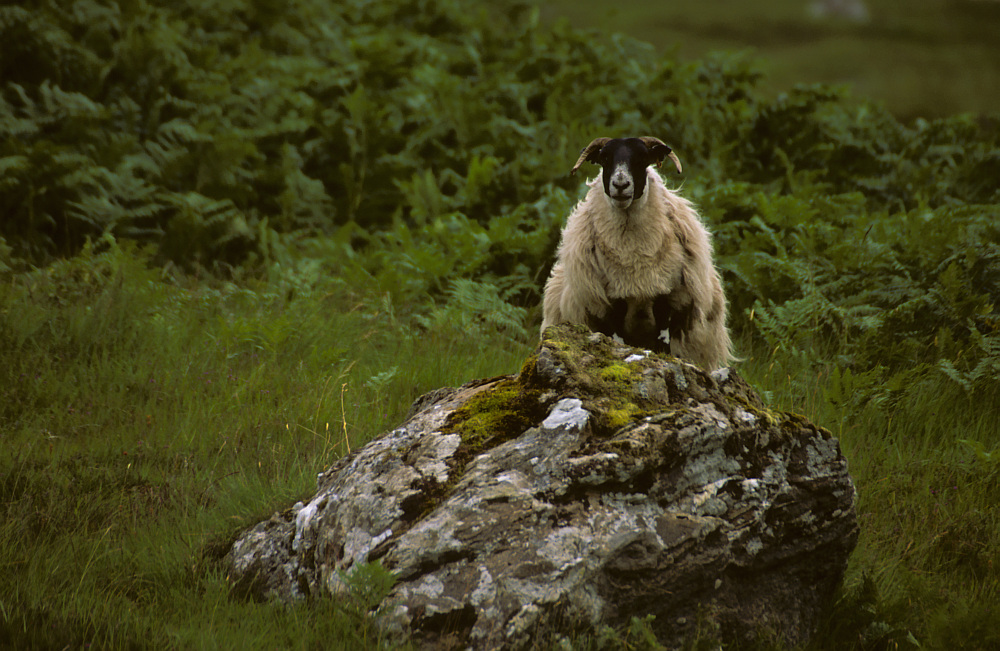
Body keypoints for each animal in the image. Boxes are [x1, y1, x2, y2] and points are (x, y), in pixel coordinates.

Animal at [540, 136, 736, 372]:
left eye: (643, 158)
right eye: (604, 158)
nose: (620, 185)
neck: (633, 258)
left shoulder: (668, 295)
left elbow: (663, 344)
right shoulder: (609, 304)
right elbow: (617, 342)